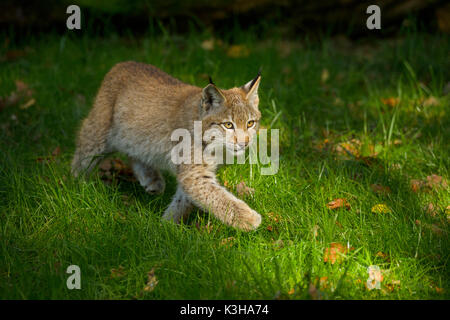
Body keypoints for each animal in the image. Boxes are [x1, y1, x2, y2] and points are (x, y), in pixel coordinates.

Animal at [71, 61, 262, 230]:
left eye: (250, 123)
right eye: (228, 125)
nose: (244, 142)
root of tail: (124, 63)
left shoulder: (192, 173)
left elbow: (183, 201)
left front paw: (167, 225)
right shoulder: (195, 174)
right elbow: (217, 197)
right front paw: (248, 218)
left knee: (135, 152)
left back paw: (151, 179)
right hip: (98, 132)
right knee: (82, 155)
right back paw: (75, 188)